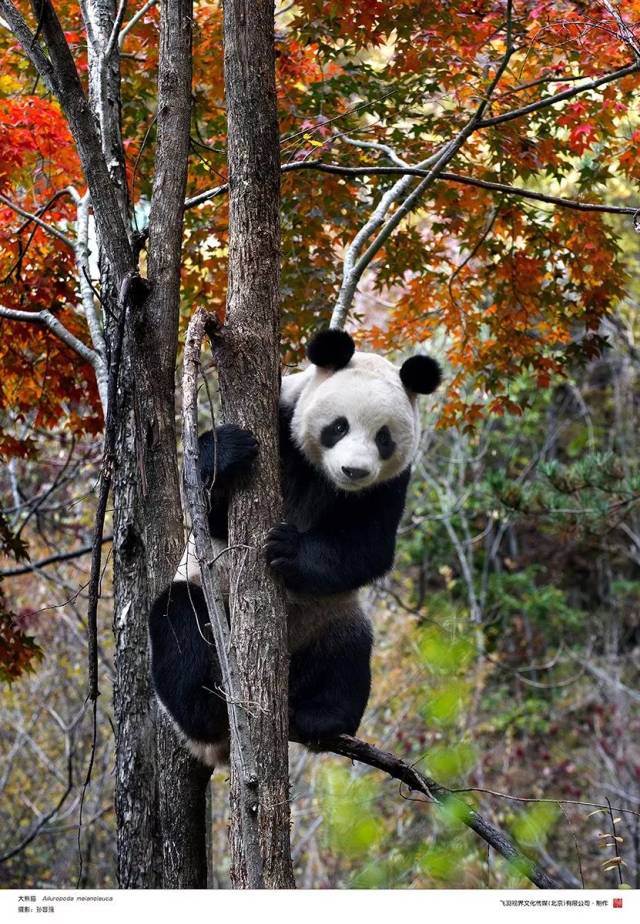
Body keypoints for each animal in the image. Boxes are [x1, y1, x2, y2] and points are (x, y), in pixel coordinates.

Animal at [149, 330, 440, 764]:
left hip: (329, 617)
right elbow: (210, 512)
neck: (323, 476)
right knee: (178, 621)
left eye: (384, 438)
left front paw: (287, 548)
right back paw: (209, 707)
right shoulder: (281, 422)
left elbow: (368, 546)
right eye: (338, 426)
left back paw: (322, 717)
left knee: (347, 655)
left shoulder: (390, 484)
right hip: (207, 595)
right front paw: (227, 452)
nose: (354, 470)